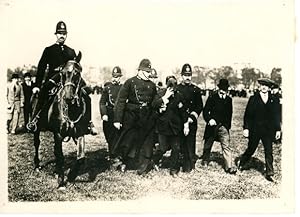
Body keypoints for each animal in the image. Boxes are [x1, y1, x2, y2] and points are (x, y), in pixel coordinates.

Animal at [29, 52, 88, 188]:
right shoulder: (58, 134)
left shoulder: (80, 133)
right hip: (37, 129)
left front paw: (71, 176)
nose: (69, 97)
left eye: (77, 73)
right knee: (37, 143)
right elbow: (60, 156)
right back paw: (37, 165)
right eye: (63, 73)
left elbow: (81, 158)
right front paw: (61, 181)